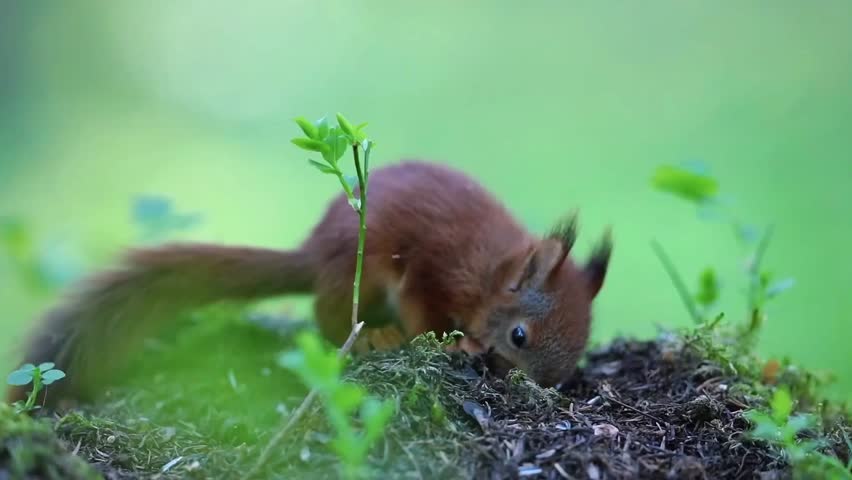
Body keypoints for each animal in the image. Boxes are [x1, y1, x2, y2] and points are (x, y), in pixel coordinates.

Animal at [5, 160, 611, 406]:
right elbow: (424, 313)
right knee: (326, 316)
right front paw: (454, 342)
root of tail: (312, 252)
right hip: (353, 273)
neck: (490, 274)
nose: (540, 387)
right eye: (519, 337)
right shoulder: (432, 272)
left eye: (580, 348)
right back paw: (372, 335)